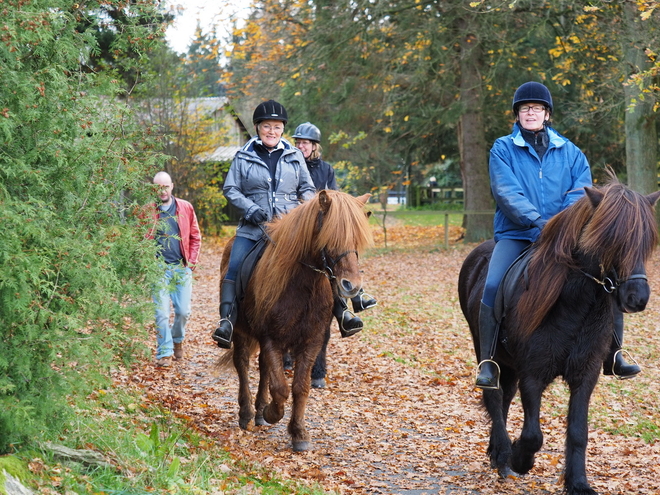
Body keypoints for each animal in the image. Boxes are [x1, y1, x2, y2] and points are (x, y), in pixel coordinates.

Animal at [217, 190, 372, 454]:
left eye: (357, 239)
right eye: (330, 236)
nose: (351, 286)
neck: (303, 286)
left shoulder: (311, 341)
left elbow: (300, 387)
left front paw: (298, 433)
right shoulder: (272, 339)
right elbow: (280, 388)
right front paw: (273, 413)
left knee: (263, 367)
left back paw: (259, 410)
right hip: (239, 331)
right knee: (243, 365)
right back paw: (247, 413)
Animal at [458, 179, 660, 495]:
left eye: (646, 241)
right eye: (609, 240)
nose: (636, 298)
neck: (575, 306)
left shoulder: (586, 375)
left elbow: (578, 432)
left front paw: (578, 483)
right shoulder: (533, 374)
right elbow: (533, 435)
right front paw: (520, 460)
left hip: (509, 363)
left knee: (504, 398)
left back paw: (496, 454)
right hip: (486, 351)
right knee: (494, 395)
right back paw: (503, 455)